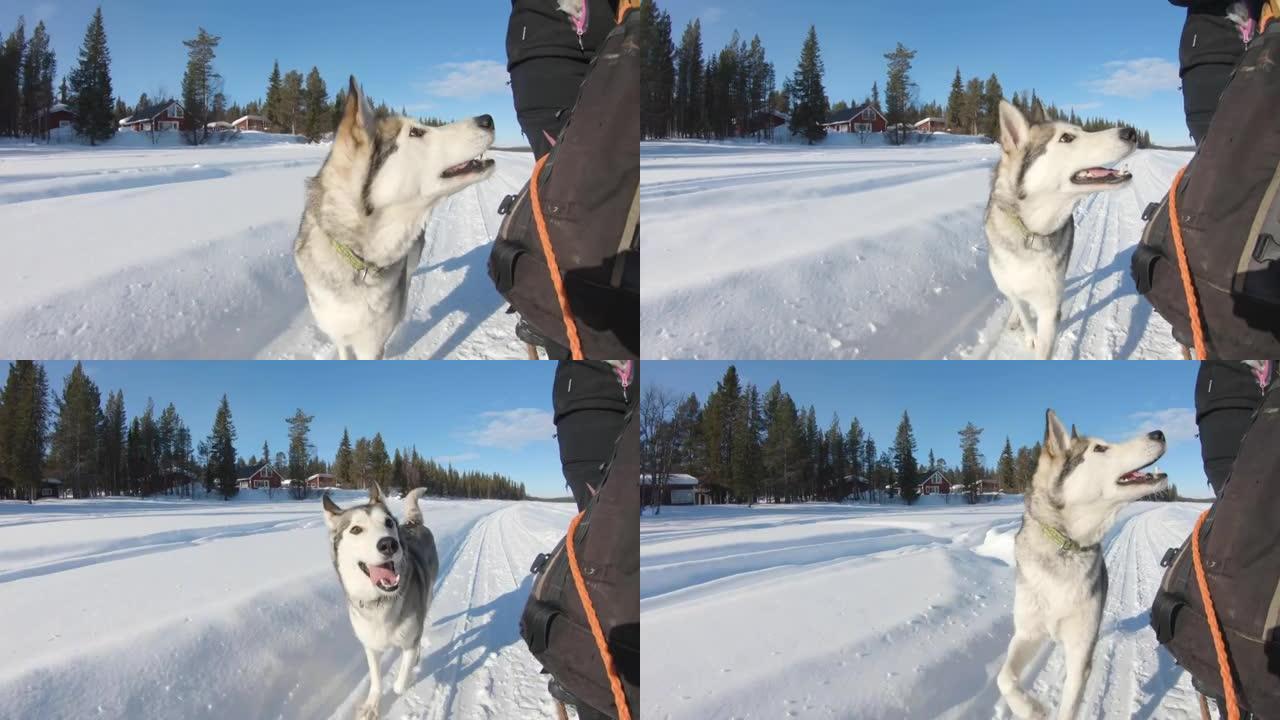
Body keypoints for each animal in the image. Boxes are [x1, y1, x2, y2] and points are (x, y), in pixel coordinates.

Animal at [325, 481, 440, 717]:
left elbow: (399, 684)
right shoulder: (370, 646)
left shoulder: (410, 640)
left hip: (428, 597)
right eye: (356, 529)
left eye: (388, 522)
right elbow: (376, 680)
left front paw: (406, 680)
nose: (389, 544)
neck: (380, 601)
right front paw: (372, 706)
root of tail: (413, 524)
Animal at [983, 99, 1136, 356]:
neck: (1030, 231)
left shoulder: (1049, 308)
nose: (1131, 132)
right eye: (1066, 138)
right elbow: (1024, 314)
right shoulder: (1014, 288)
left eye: (1081, 130)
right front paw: (1028, 334)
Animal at [998, 409, 1172, 717]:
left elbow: (1068, 707)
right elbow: (1004, 678)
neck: (1067, 545)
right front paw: (1030, 709)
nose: (1159, 433)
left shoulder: (1080, 654)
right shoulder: (1028, 632)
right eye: (1100, 448)